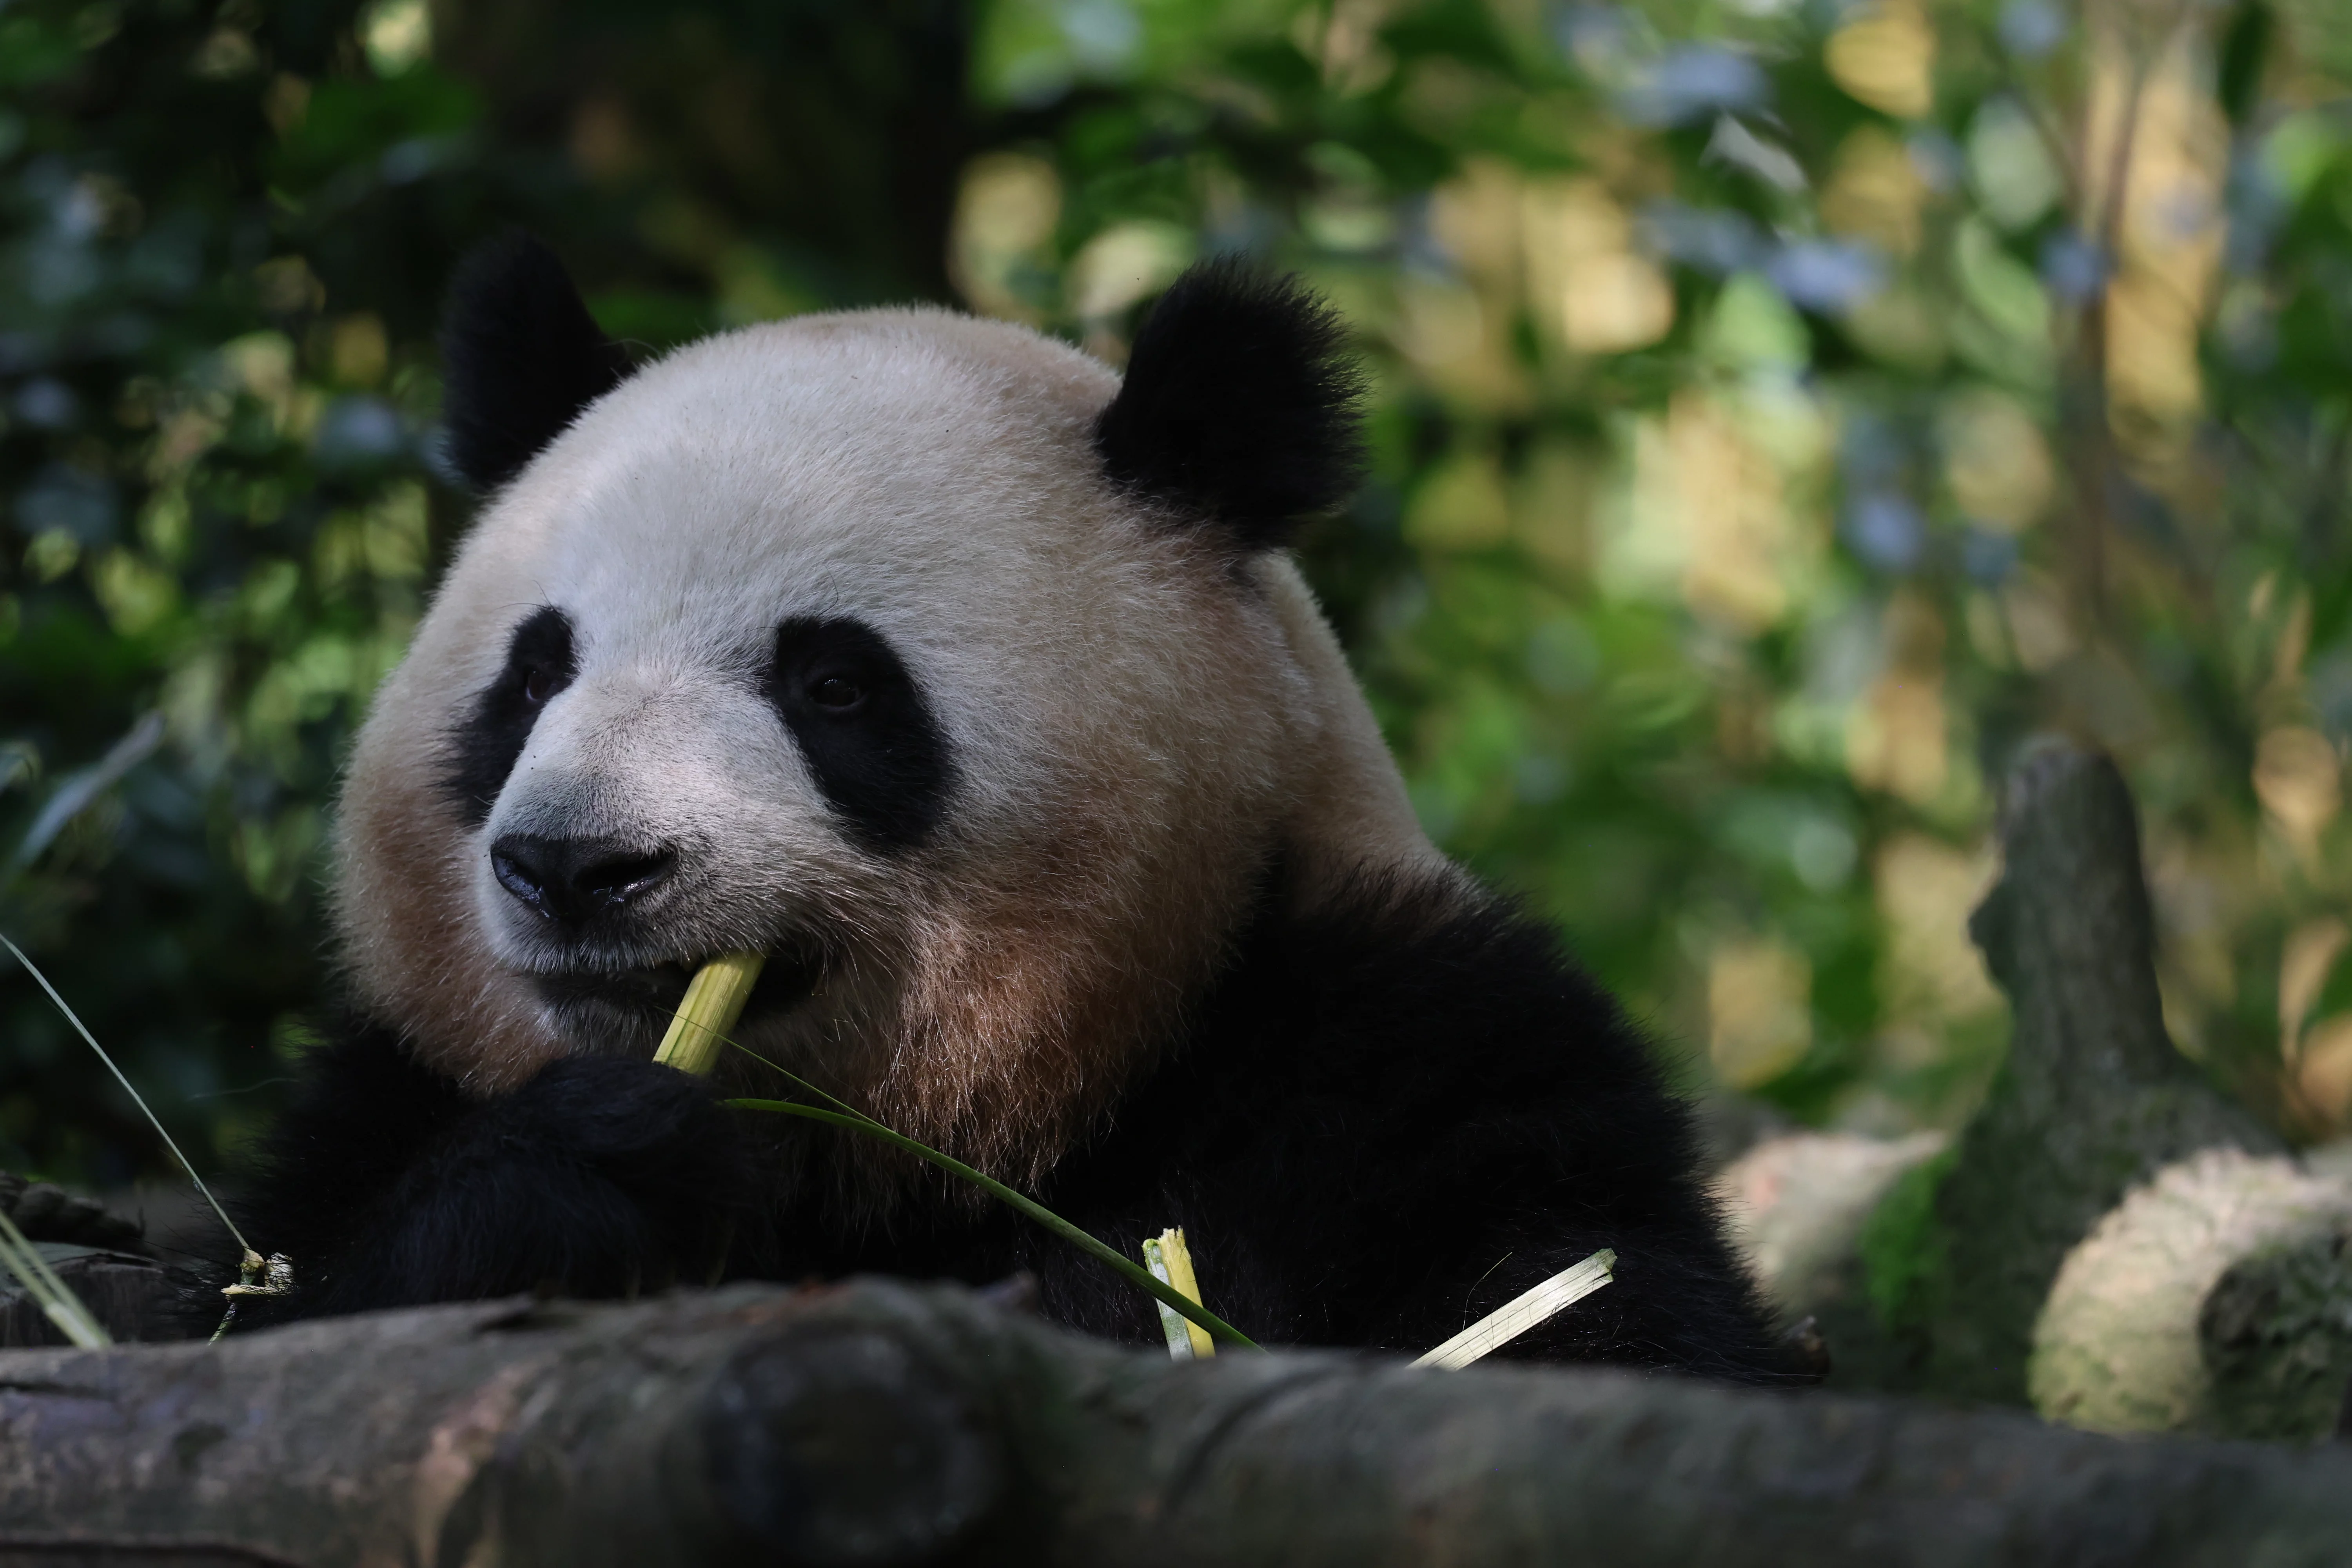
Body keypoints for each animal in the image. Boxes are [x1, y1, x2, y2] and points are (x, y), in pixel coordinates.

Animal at [221, 233, 1787, 1379]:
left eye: (836, 684)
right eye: (536, 670)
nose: (576, 863)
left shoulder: (1394, 1051)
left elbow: (1589, 1308)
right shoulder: (382, 1100)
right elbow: (256, 1318)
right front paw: (584, 1171)